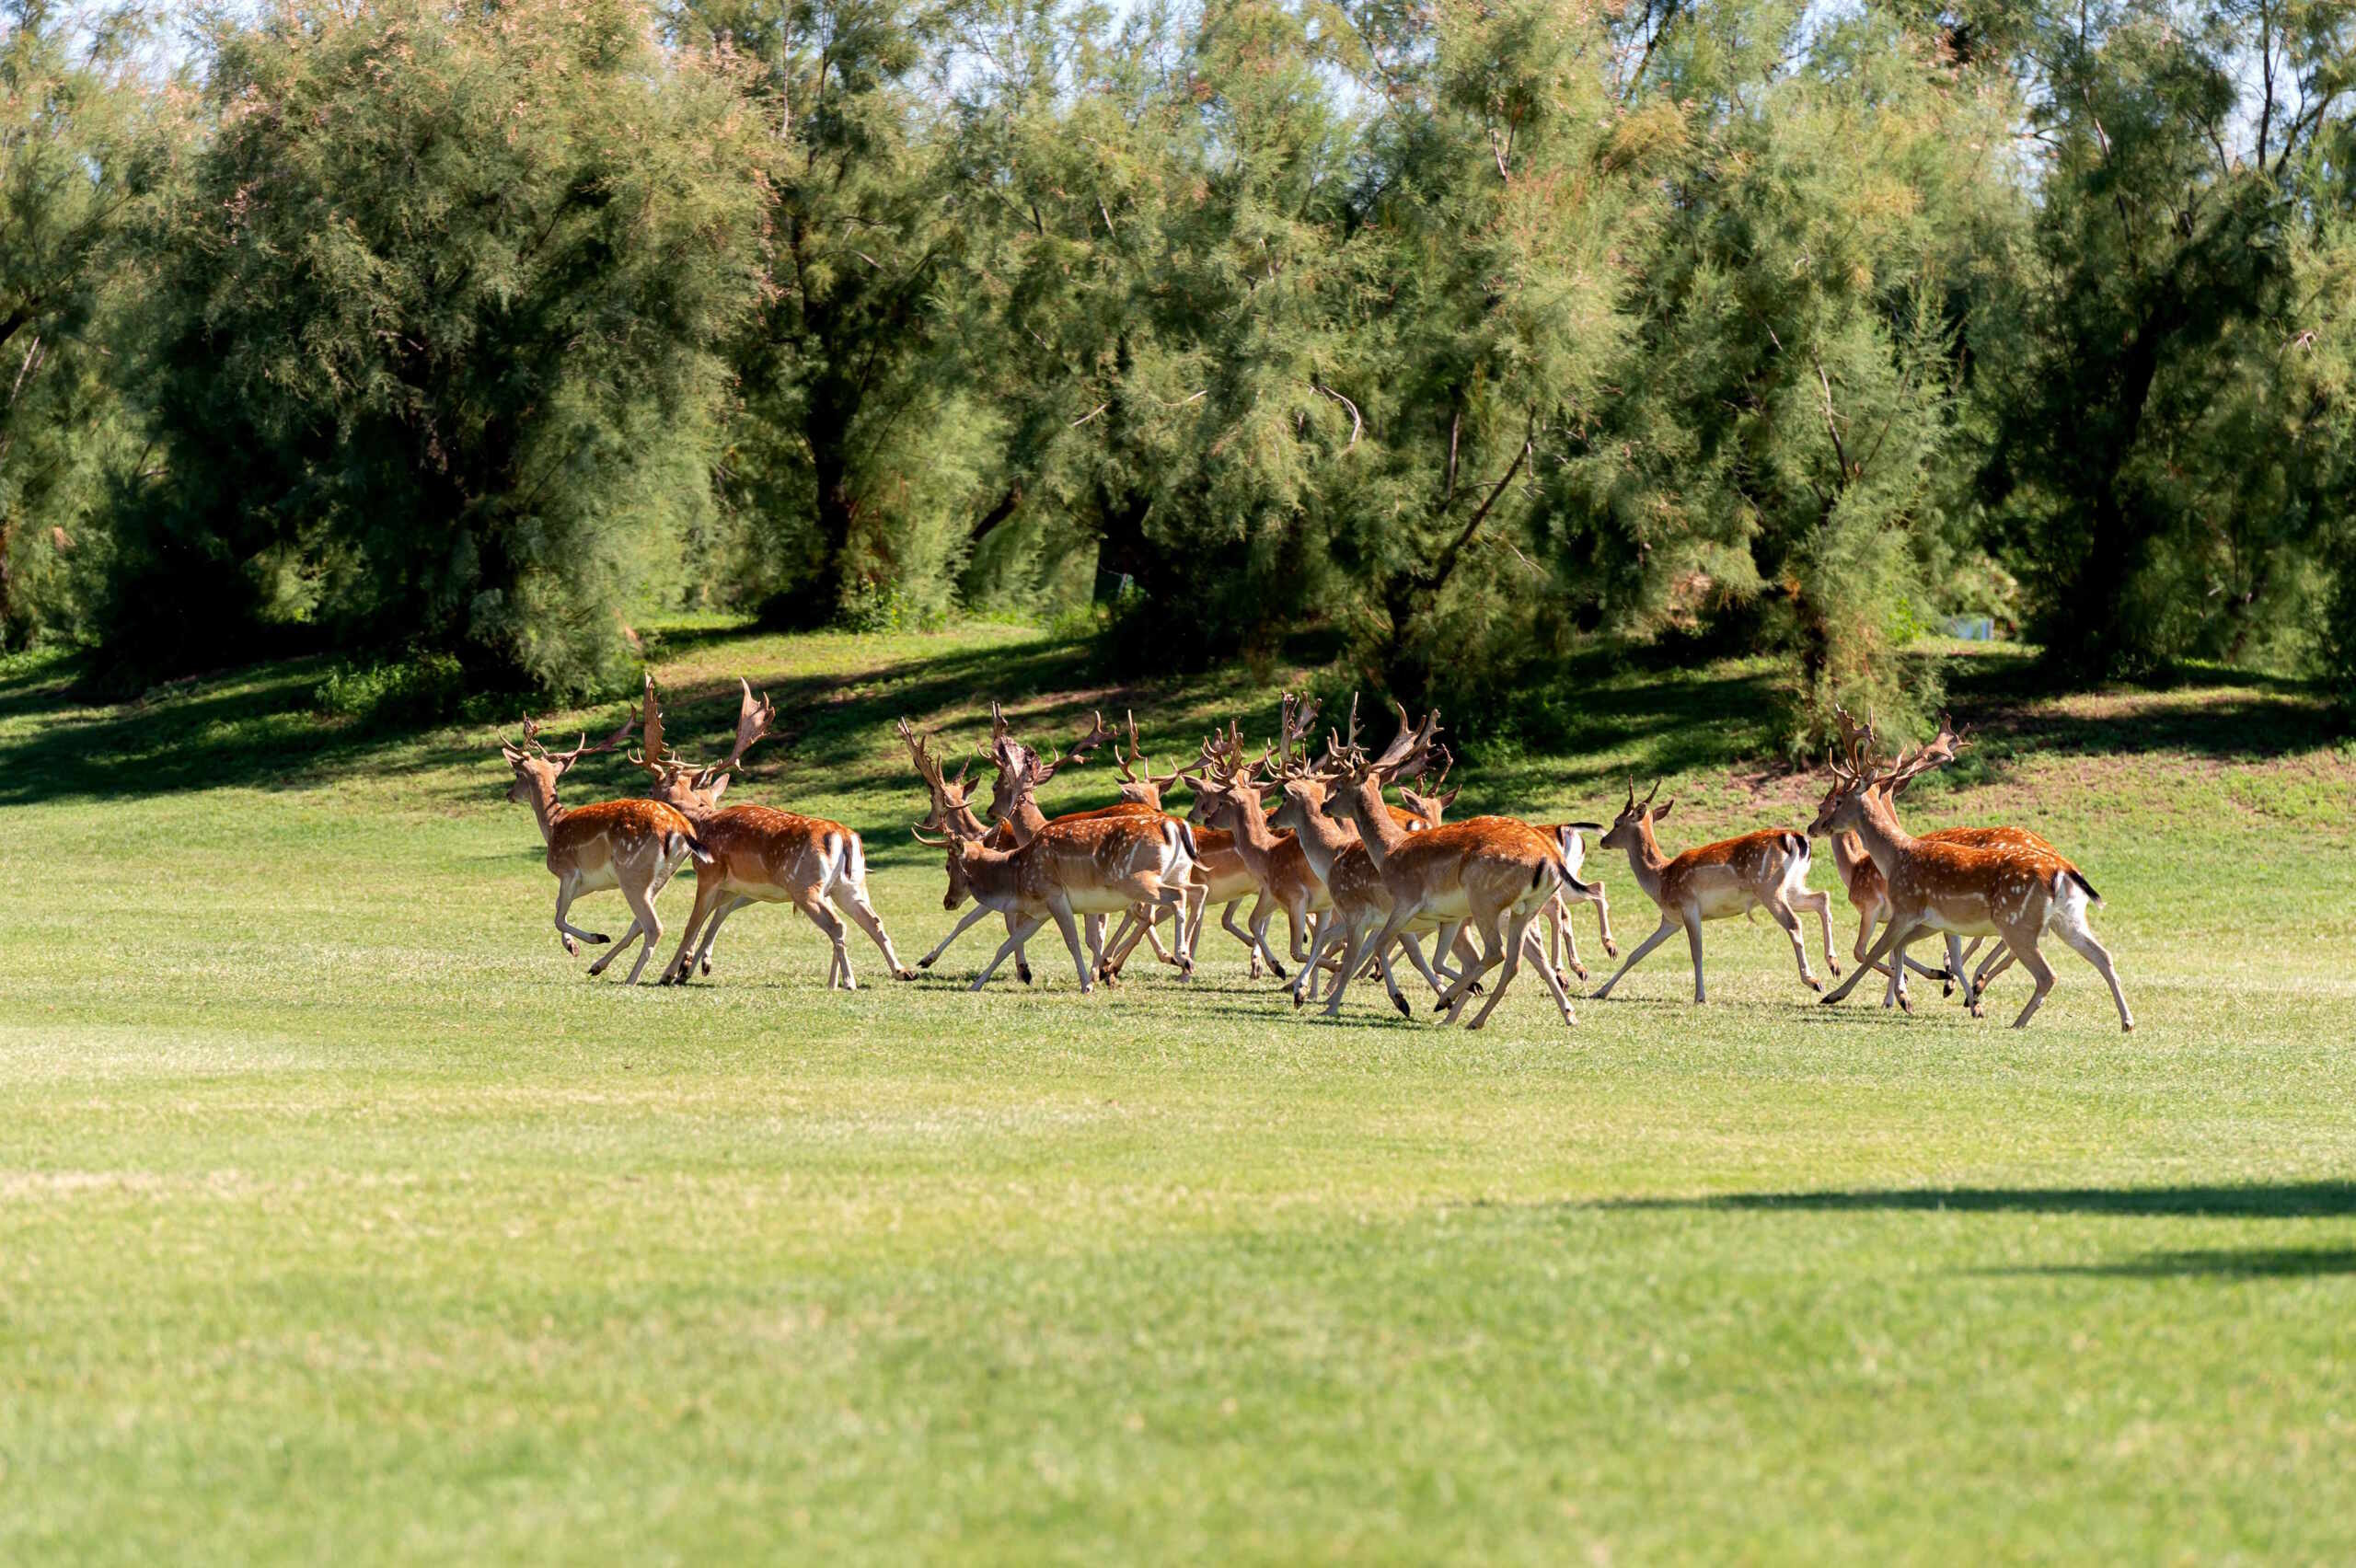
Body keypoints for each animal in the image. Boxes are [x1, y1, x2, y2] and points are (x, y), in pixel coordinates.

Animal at [497, 697, 697, 979]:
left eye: (517, 775)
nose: (509, 794)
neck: (554, 827)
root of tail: (681, 829)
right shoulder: (590, 882)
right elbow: (558, 907)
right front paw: (573, 946)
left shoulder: (568, 870)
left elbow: (558, 917)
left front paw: (594, 938)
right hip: (661, 878)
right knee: (639, 924)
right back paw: (600, 966)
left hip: (633, 873)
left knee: (653, 926)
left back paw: (631, 979)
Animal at [645, 673, 918, 988]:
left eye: (652, 789)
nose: (643, 801)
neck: (701, 822)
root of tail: (846, 838)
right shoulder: (737, 885)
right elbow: (714, 918)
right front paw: (689, 968)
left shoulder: (709, 873)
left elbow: (692, 924)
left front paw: (669, 973)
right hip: (852, 886)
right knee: (874, 922)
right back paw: (903, 971)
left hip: (806, 886)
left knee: (838, 926)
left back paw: (849, 981)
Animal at [1583, 777, 1837, 1002]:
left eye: (1616, 822)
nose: (1603, 840)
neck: (1661, 879)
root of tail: (1796, 839)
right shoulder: (1670, 920)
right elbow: (1636, 953)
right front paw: (1600, 991)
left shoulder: (1689, 906)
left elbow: (1697, 953)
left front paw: (1700, 996)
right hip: (1793, 887)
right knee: (1822, 898)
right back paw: (1834, 965)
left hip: (1769, 887)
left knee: (1794, 923)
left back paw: (1814, 980)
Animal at [1799, 710, 2139, 1026]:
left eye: (1837, 800)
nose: (1817, 826)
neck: (1895, 857)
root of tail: (2064, 868)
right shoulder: (1933, 919)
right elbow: (1902, 950)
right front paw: (1929, 987)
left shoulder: (1905, 907)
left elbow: (1874, 950)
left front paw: (1837, 994)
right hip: (2068, 918)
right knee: (2103, 956)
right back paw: (2126, 1022)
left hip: (2016, 920)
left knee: (2047, 973)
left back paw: (2015, 1019)